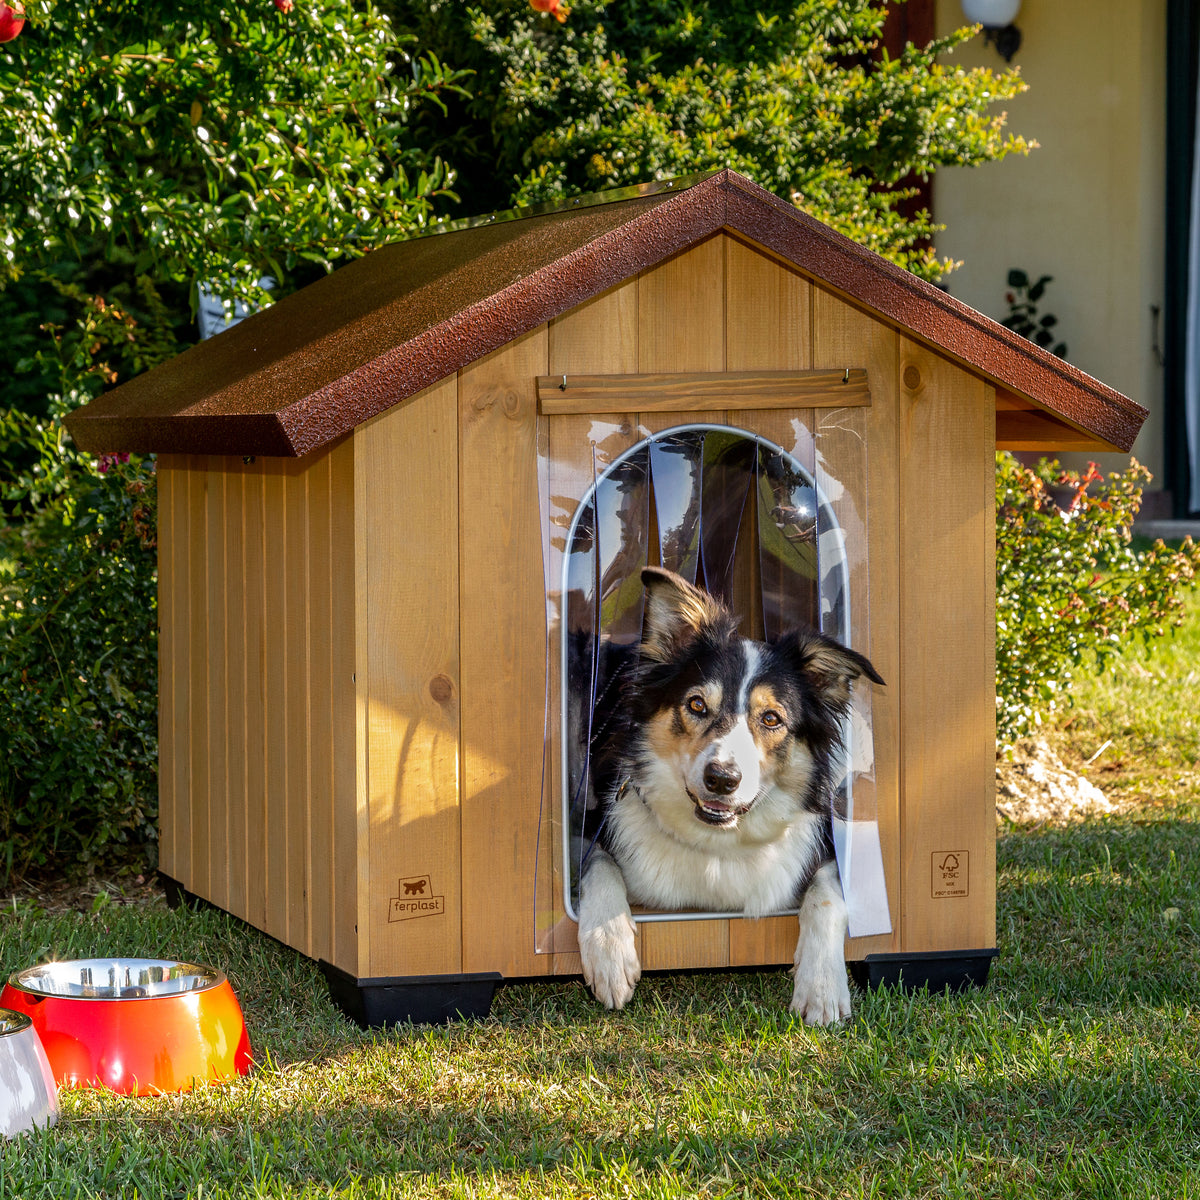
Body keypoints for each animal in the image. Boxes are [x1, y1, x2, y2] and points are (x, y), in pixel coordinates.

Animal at [571, 566, 883, 1027]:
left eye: (771, 718)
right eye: (697, 705)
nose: (721, 779)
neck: (719, 843)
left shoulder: (828, 834)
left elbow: (829, 891)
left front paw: (822, 986)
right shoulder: (591, 821)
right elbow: (598, 862)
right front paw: (608, 947)